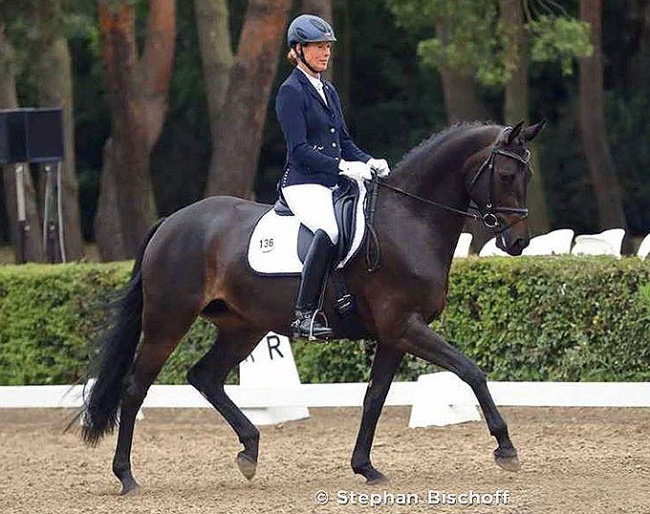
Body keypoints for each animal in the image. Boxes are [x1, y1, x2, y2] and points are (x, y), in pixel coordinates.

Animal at [82, 119, 548, 492]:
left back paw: (249, 451)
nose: (517, 242)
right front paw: (506, 449)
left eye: (528, 174)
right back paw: (126, 476)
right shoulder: (405, 326)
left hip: (243, 327)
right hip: (168, 320)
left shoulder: (393, 335)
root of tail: (171, 222)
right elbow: (471, 371)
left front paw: (365, 467)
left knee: (205, 377)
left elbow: (374, 397)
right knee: (135, 388)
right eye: (507, 173)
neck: (410, 220)